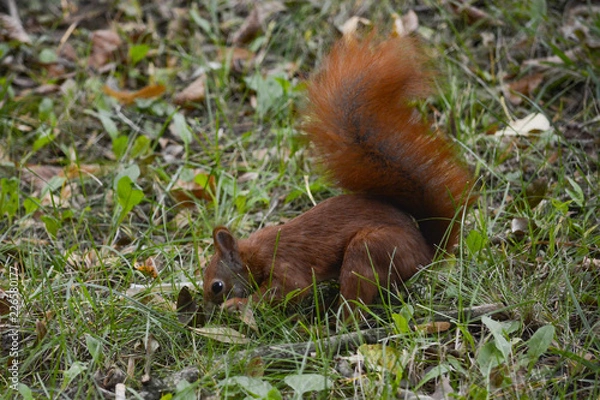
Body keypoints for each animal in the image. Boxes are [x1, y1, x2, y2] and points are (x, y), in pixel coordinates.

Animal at [204, 36, 476, 318]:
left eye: (217, 286)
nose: (205, 311)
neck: (254, 253)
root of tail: (426, 254)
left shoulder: (284, 264)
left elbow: (287, 290)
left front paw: (238, 304)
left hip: (369, 249)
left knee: (356, 299)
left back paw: (336, 318)